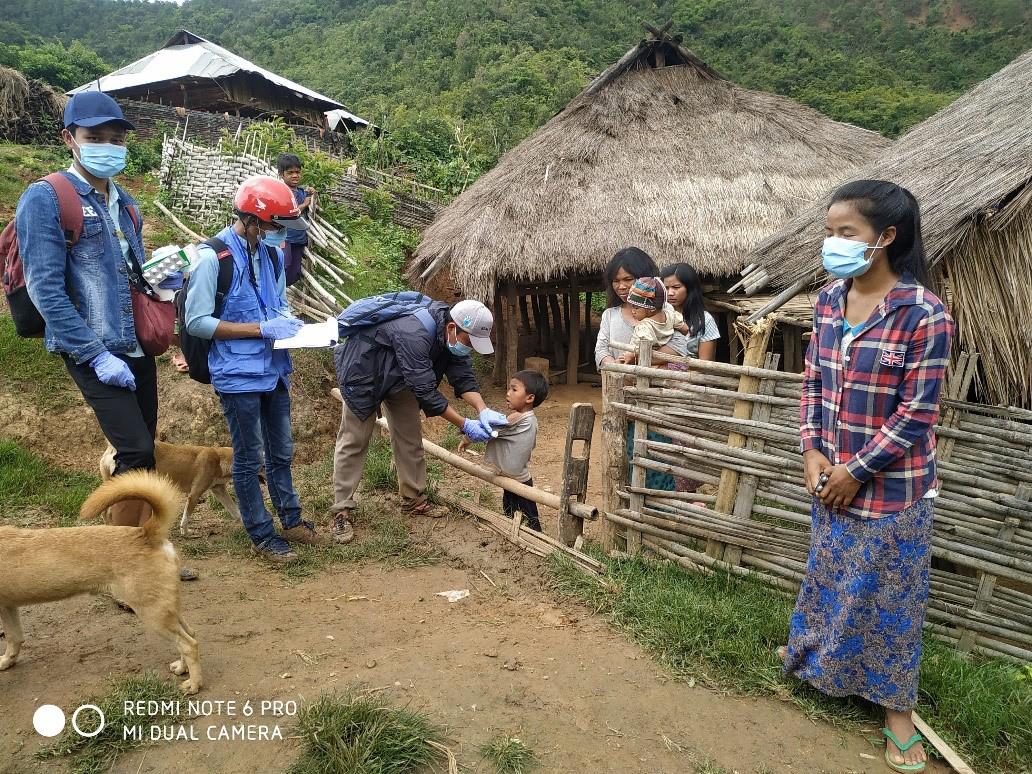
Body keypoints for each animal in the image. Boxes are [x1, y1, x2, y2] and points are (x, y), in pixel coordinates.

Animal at [0, 472, 203, 697]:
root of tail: (145, 533)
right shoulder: (8, 607)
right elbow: (14, 638)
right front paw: (6, 661)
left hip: (153, 614)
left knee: (189, 644)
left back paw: (194, 684)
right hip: (166, 608)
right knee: (191, 633)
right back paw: (182, 668)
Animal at [100, 441, 237, 540]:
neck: (218, 458)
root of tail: (112, 449)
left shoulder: (219, 490)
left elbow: (236, 511)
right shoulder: (194, 495)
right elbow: (185, 518)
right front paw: (186, 532)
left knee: (107, 512)